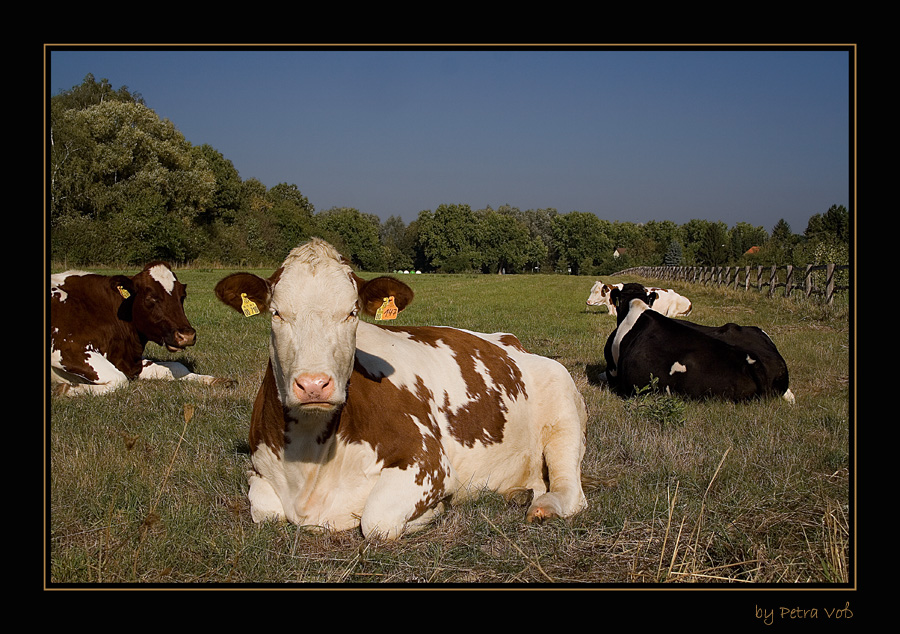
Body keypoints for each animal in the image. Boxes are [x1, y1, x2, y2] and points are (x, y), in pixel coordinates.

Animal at [49, 262, 232, 396]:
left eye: (182, 296)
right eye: (151, 297)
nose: (186, 335)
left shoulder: (132, 361)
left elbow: (177, 367)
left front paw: (216, 380)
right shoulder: (66, 349)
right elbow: (119, 379)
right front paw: (65, 389)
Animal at [214, 237, 588, 540]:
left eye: (351, 313)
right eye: (276, 313)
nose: (314, 384)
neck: (309, 461)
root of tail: (509, 340)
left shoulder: (429, 464)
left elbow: (377, 522)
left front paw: (435, 512)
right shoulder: (259, 468)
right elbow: (266, 513)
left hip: (565, 414)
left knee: (571, 489)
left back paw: (544, 506)